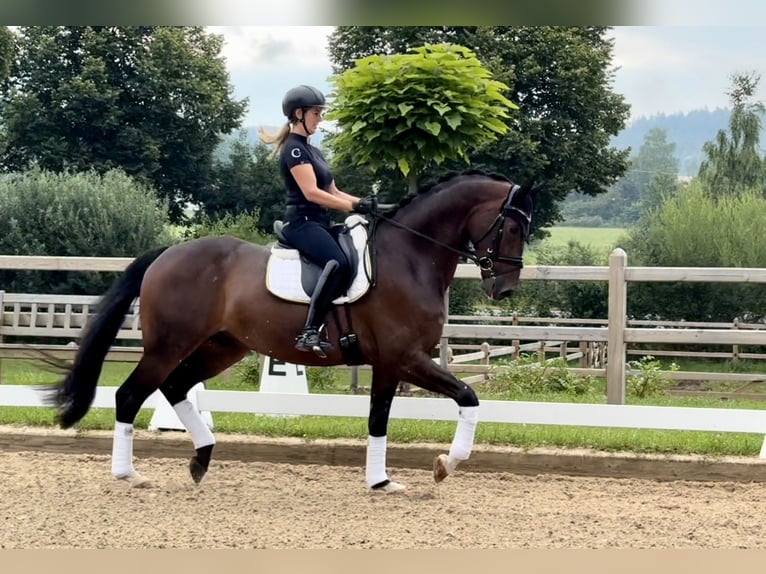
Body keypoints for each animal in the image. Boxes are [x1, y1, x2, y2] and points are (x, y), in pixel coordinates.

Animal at [46, 171, 536, 496]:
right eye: (512, 226)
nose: (505, 289)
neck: (410, 256)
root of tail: (168, 253)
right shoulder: (407, 357)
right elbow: (468, 396)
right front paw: (445, 465)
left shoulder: (388, 364)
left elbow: (378, 420)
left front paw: (381, 481)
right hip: (169, 344)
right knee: (131, 394)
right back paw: (129, 474)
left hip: (222, 347)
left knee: (176, 387)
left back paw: (201, 459)